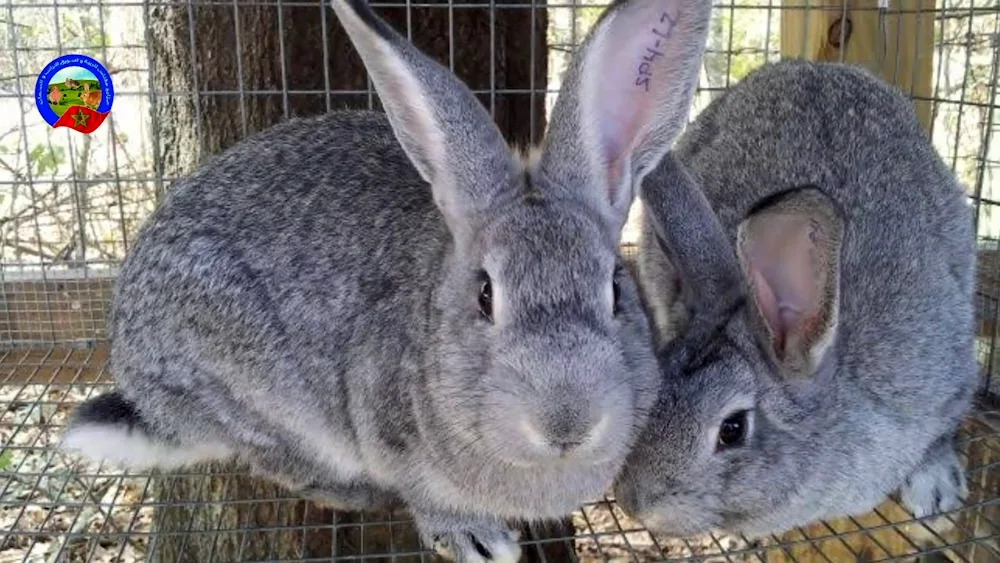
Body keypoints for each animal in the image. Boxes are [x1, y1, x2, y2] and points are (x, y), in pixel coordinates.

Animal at [56, 0, 712, 560]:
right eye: (485, 295)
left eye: (616, 291)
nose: (567, 423)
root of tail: (140, 387)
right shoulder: (388, 437)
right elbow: (424, 497)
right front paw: (476, 539)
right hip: (240, 381)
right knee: (275, 458)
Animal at [612, 59, 980, 540]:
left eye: (732, 430)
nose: (634, 502)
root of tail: (811, 65)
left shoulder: (949, 380)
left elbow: (939, 438)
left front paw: (934, 492)